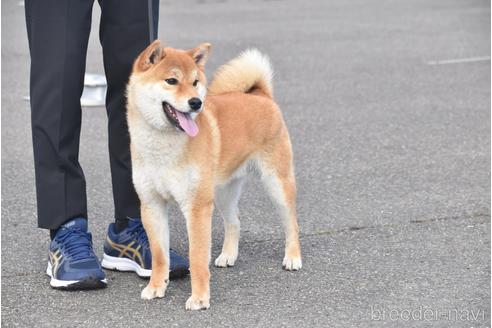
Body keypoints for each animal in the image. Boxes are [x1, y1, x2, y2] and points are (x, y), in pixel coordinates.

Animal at [127, 39, 302, 308]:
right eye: (171, 81)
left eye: (195, 82)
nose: (196, 103)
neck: (163, 147)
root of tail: (260, 95)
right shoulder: (152, 204)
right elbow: (159, 256)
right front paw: (156, 287)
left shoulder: (197, 207)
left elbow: (197, 257)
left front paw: (199, 298)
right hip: (222, 192)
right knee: (235, 220)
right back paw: (228, 255)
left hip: (276, 182)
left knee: (291, 221)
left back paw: (293, 257)